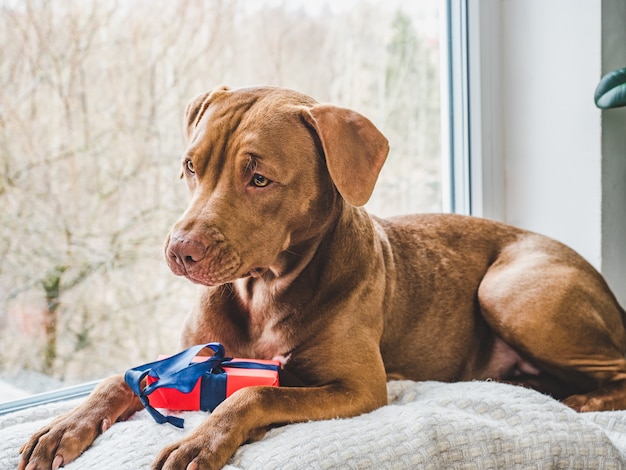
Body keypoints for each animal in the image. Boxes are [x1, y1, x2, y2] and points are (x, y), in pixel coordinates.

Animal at [17, 85, 624, 470]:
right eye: (191, 166)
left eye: (259, 178)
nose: (179, 251)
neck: (264, 291)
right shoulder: (186, 353)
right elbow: (116, 379)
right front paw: (63, 426)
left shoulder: (358, 387)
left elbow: (254, 397)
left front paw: (201, 442)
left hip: (509, 290)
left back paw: (580, 400)